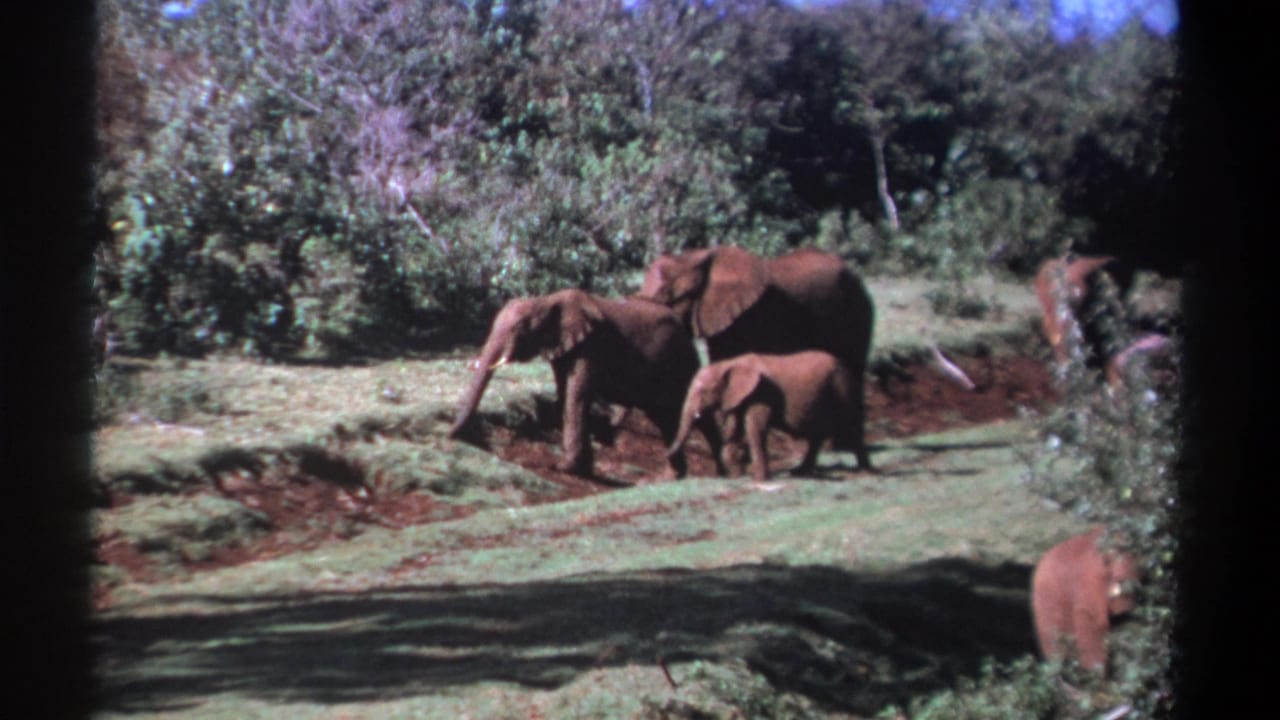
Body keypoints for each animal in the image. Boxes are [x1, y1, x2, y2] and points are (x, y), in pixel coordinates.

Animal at [449, 289, 723, 479]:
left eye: (520, 328)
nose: (451, 435)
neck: (547, 301)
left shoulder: (591, 345)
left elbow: (576, 393)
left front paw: (564, 468)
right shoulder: (563, 349)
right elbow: (565, 393)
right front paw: (582, 468)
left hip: (681, 360)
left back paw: (724, 473)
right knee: (665, 418)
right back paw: (672, 477)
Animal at [667, 351, 865, 482]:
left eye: (702, 391)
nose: (673, 474)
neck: (729, 363)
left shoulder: (762, 393)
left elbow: (755, 428)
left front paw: (760, 481)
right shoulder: (740, 395)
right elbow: (734, 428)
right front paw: (737, 476)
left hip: (842, 387)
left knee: (852, 425)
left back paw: (865, 471)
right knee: (817, 436)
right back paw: (799, 472)